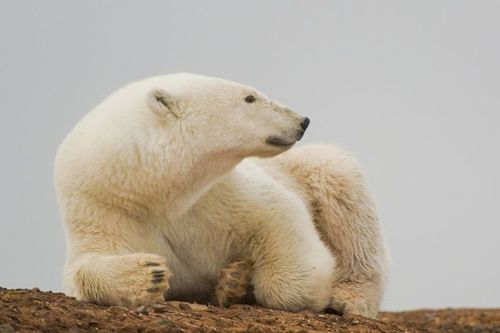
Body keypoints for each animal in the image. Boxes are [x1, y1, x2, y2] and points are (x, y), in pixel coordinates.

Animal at [55, 72, 390, 316]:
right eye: (249, 97)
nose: (302, 120)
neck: (156, 194)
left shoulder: (220, 193)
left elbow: (279, 217)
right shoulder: (104, 209)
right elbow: (87, 263)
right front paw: (149, 275)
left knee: (344, 197)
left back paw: (348, 296)